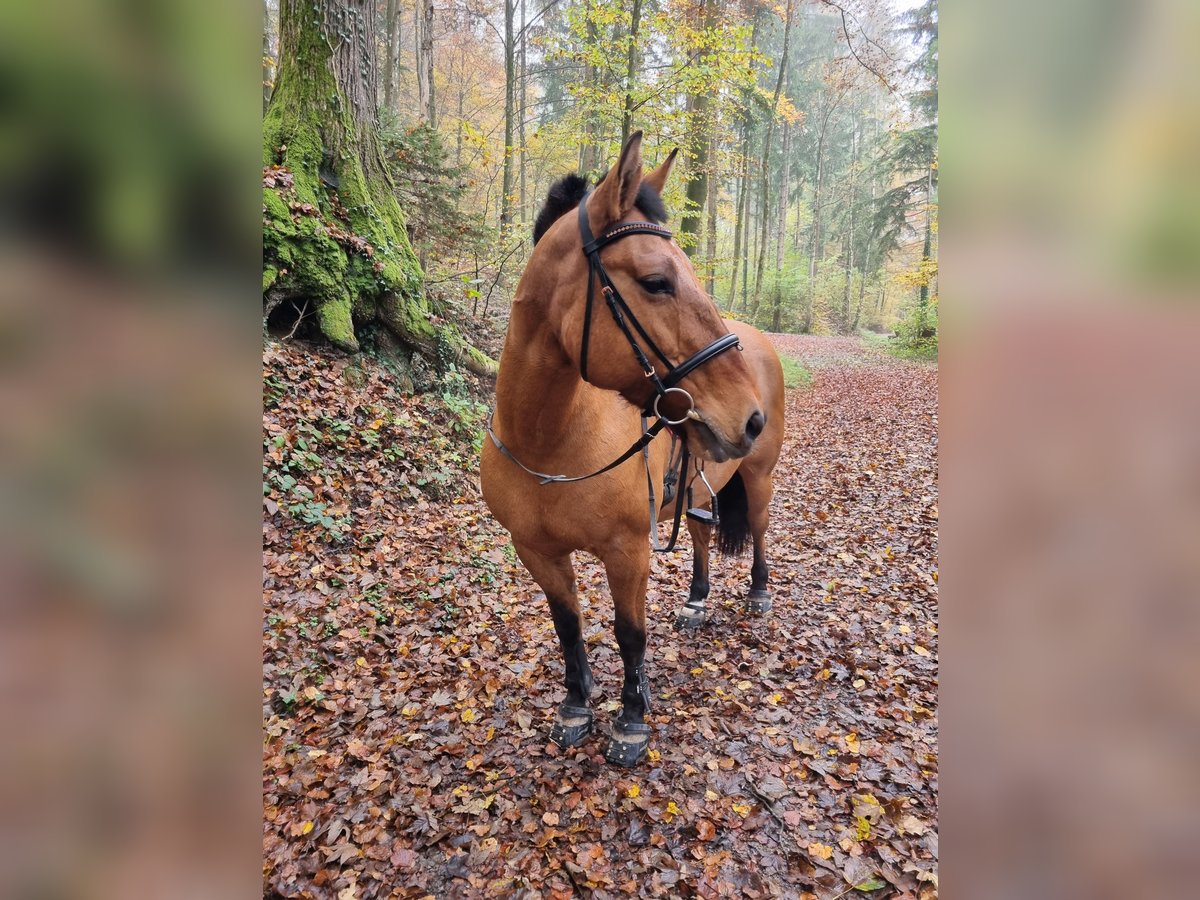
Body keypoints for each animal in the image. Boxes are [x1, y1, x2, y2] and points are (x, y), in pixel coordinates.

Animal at [477, 133, 787, 768]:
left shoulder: (627, 551)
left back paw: (759, 593)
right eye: (655, 281)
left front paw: (632, 719)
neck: (547, 443)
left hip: (759, 479)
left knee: (760, 529)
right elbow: (567, 626)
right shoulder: (536, 552)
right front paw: (576, 705)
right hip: (699, 485)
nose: (749, 417)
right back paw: (696, 603)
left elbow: (629, 634)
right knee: (700, 537)